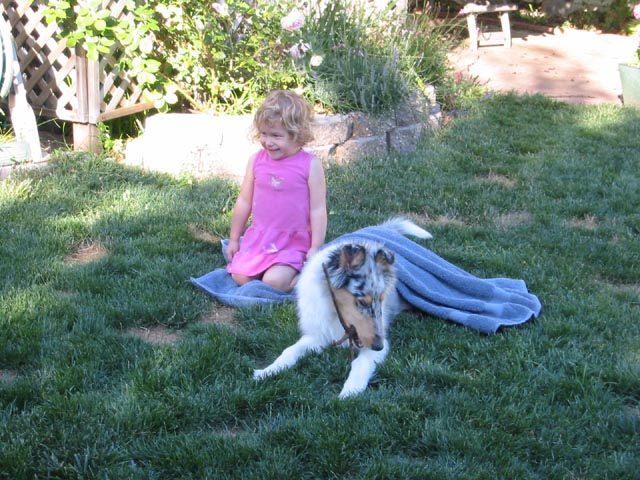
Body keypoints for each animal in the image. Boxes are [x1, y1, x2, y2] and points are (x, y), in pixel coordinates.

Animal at [253, 218, 432, 398]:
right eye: (362, 302)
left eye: (381, 299)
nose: (378, 346)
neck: (335, 314)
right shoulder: (318, 334)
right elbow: (290, 350)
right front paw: (267, 371)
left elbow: (360, 362)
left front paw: (349, 392)